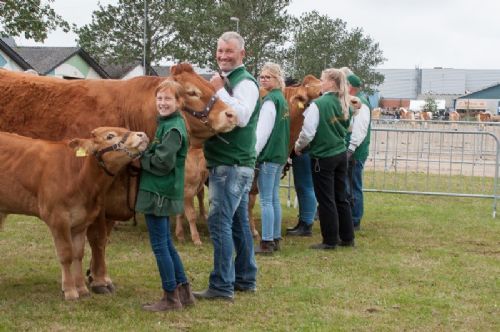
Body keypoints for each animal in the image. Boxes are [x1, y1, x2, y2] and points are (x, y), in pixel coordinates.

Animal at [0, 126, 148, 300]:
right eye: (110, 136)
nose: (142, 134)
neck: (79, 176)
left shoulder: (82, 221)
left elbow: (78, 254)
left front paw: (82, 289)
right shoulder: (58, 218)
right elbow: (66, 254)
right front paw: (70, 290)